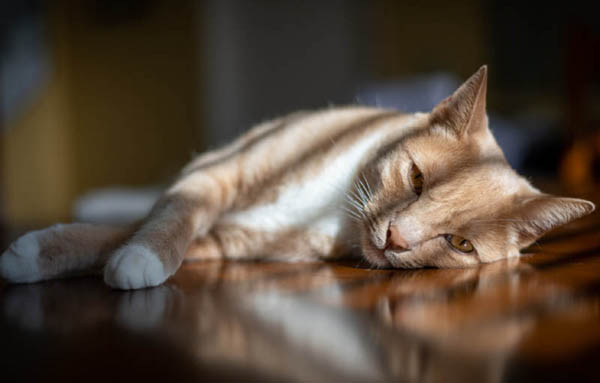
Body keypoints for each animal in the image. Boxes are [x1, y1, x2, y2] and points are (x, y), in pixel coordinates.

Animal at [0, 66, 592, 290]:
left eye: (460, 244)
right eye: (418, 178)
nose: (395, 239)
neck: (333, 206)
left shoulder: (227, 242)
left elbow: (133, 236)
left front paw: (121, 259)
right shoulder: (213, 175)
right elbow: (166, 220)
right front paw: (36, 253)